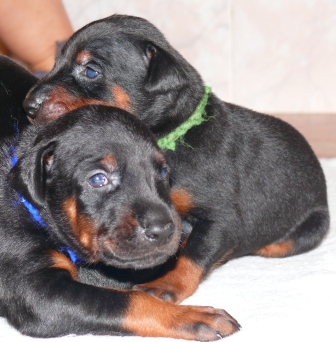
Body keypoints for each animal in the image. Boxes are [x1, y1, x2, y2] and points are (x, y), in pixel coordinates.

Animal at [25, 14, 330, 306]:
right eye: (56, 62)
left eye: (90, 70)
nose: (28, 106)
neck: (172, 135)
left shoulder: (223, 217)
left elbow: (194, 253)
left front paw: (166, 284)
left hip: (310, 227)